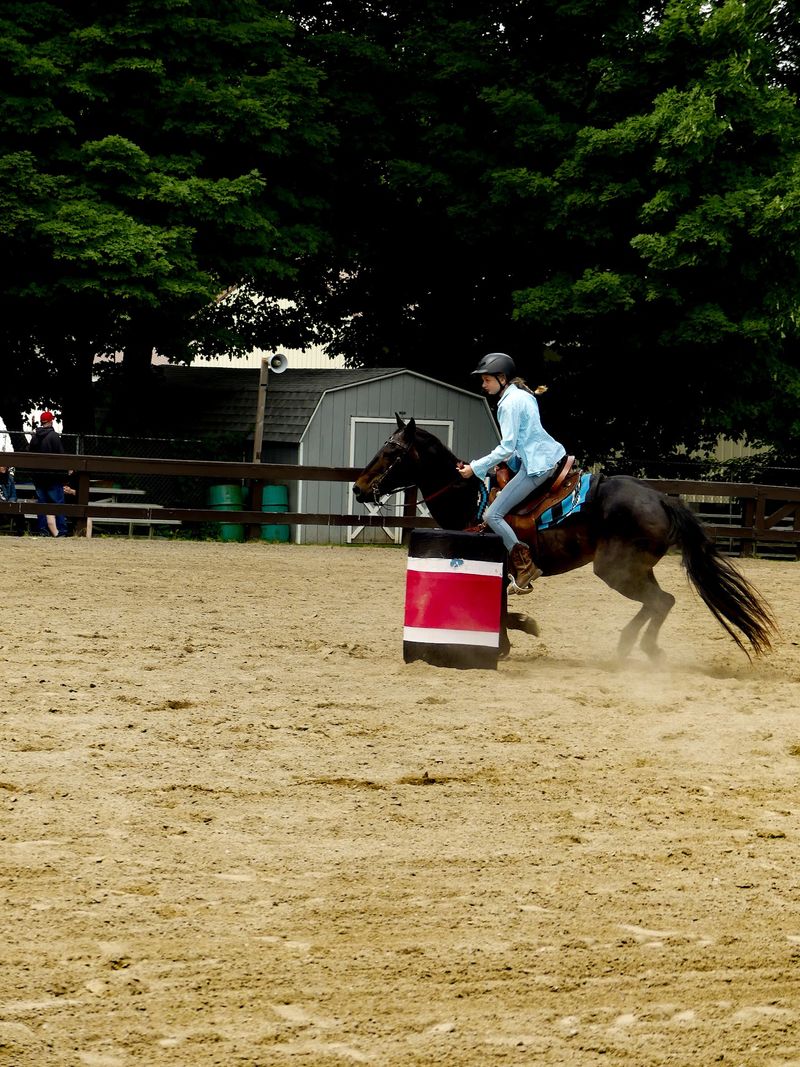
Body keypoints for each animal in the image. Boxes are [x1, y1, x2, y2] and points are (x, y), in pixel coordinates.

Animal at [352, 415, 777, 662]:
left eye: (392, 451)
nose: (358, 488)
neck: (470, 498)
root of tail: (661, 498)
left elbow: (502, 612)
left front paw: (513, 637)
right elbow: (501, 610)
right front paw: (516, 634)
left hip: (616, 571)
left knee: (660, 601)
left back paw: (634, 648)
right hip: (634, 569)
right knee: (661, 601)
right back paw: (632, 647)